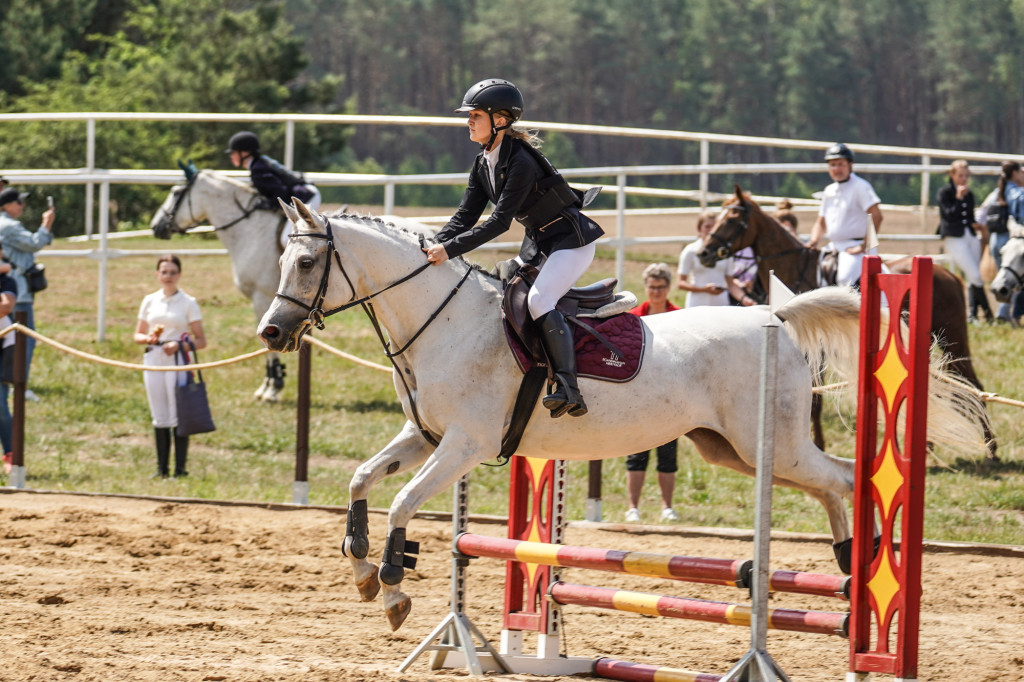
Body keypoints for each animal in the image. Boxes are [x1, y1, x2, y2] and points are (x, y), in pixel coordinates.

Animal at [149, 164, 434, 399]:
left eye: (176, 192)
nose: (156, 227)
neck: (249, 229)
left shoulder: (261, 298)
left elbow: (265, 346)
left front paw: (271, 388)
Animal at [700, 186, 995, 456]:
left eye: (732, 219)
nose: (704, 253)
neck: (795, 268)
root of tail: (949, 274)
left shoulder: (816, 349)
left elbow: (815, 398)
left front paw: (818, 444)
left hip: (953, 338)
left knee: (974, 386)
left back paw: (991, 447)